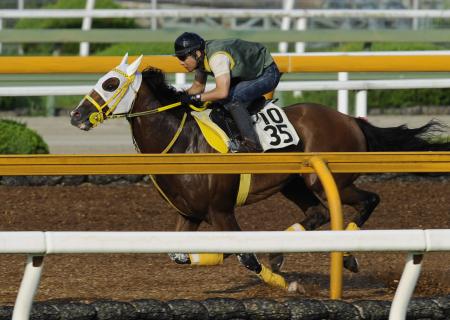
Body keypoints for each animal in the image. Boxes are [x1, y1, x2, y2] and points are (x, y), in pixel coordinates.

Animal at [69, 55, 450, 292]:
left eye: (110, 83)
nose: (76, 116)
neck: (184, 144)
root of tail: (350, 119)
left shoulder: (221, 211)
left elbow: (246, 257)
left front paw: (285, 283)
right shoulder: (190, 214)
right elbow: (181, 256)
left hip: (327, 180)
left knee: (367, 200)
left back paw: (348, 252)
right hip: (293, 184)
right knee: (319, 212)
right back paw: (286, 252)